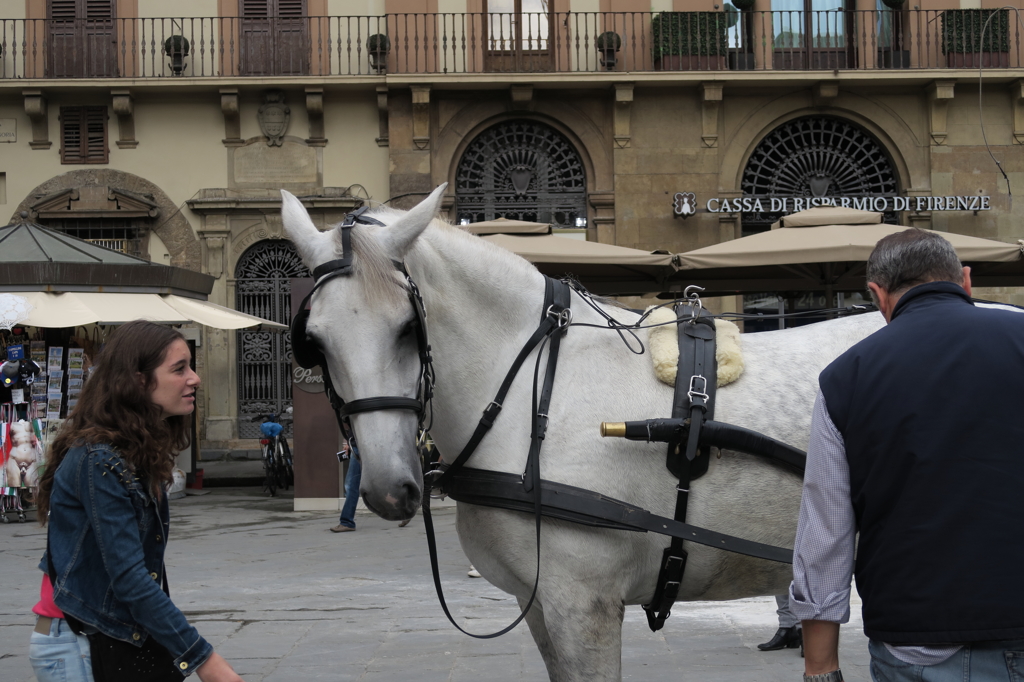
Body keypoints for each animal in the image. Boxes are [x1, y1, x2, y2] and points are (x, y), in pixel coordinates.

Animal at [280, 183, 888, 675]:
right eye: (313, 341)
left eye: (409, 328)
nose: (389, 488)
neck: (535, 394)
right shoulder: (540, 605)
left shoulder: (581, 603)